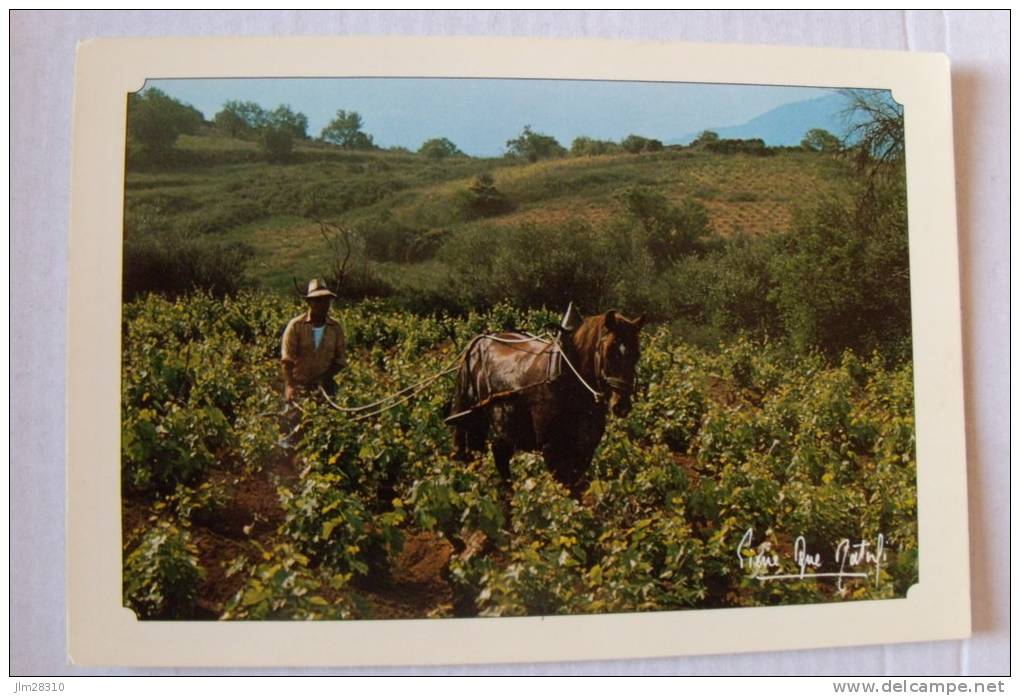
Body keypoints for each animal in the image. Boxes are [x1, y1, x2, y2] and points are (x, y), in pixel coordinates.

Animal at [448, 306, 644, 495]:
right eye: (610, 352)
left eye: (637, 355)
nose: (622, 405)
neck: (569, 379)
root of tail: (478, 341)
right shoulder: (552, 449)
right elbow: (566, 489)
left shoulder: (585, 448)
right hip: (471, 415)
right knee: (471, 452)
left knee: (498, 454)